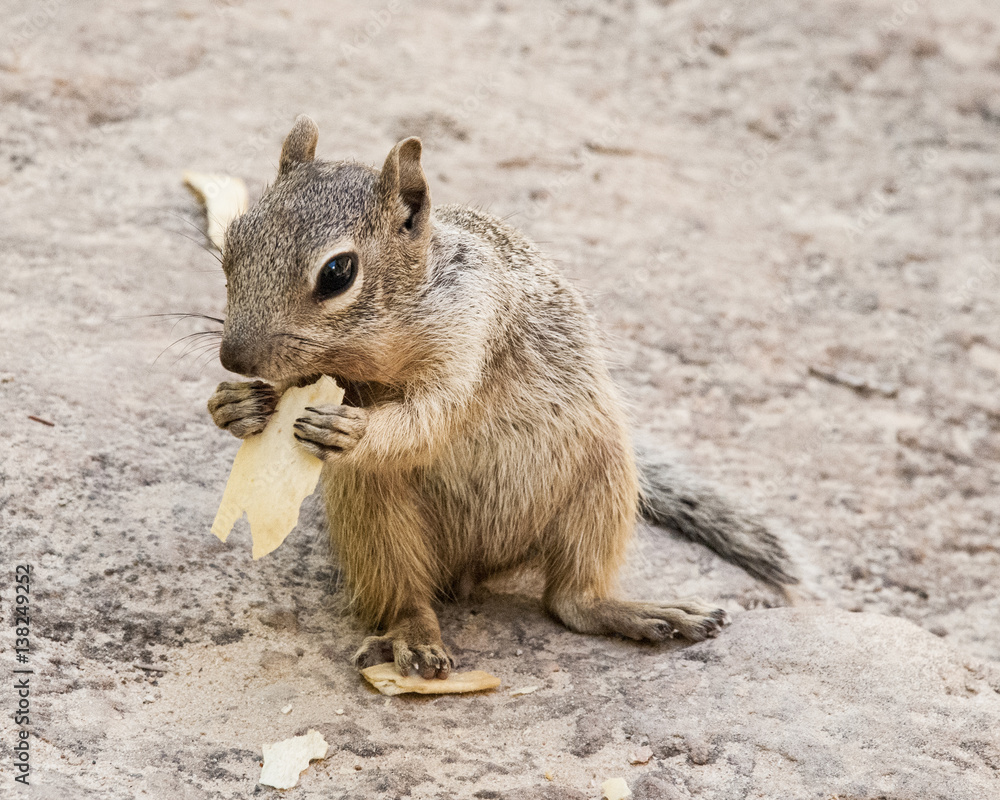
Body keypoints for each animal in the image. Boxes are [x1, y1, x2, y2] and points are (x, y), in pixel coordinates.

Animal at [206, 115, 797, 680]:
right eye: (231, 241)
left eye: (337, 272)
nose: (235, 359)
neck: (384, 340)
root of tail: (477, 566)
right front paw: (234, 406)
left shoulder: (471, 335)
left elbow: (432, 416)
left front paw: (355, 430)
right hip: (373, 510)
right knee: (408, 595)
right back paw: (414, 634)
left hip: (603, 481)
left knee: (571, 600)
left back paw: (640, 612)